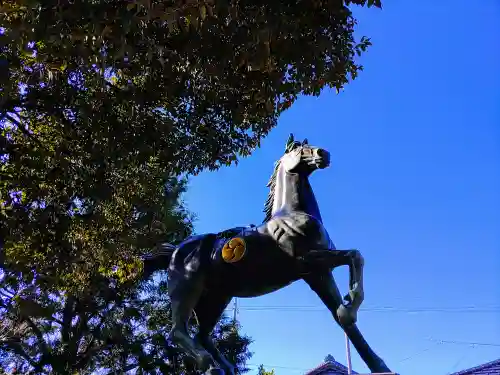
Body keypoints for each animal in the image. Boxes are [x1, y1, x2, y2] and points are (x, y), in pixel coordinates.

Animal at [143, 135, 392, 375]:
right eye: (298, 148)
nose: (324, 153)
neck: (291, 214)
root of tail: (176, 250)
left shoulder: (318, 273)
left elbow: (343, 318)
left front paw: (380, 365)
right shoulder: (307, 261)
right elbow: (354, 255)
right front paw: (350, 303)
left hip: (216, 298)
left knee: (201, 335)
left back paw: (226, 368)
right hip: (186, 289)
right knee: (177, 331)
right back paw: (209, 364)